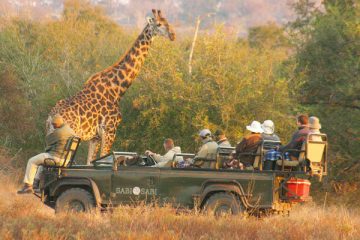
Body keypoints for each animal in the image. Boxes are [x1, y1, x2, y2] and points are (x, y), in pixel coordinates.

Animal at [46, 8, 176, 163]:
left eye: (168, 22)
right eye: (159, 24)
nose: (173, 35)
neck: (117, 89)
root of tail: (51, 118)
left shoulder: (95, 137)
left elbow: (90, 162)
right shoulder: (110, 131)